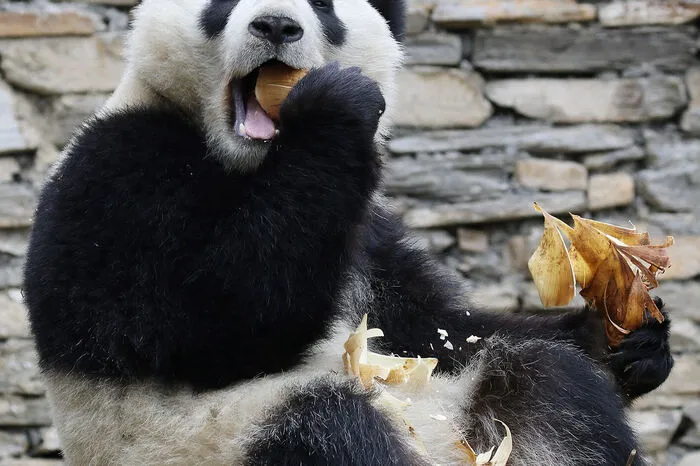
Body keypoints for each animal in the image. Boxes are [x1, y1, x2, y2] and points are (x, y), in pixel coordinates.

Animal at [23, 0, 674, 464]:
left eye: (324, 3)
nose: (276, 24)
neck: (254, 161)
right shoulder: (114, 173)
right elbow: (209, 323)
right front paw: (334, 103)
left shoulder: (368, 233)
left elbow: (435, 327)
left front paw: (626, 340)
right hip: (198, 438)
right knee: (328, 430)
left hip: (456, 405)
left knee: (552, 390)